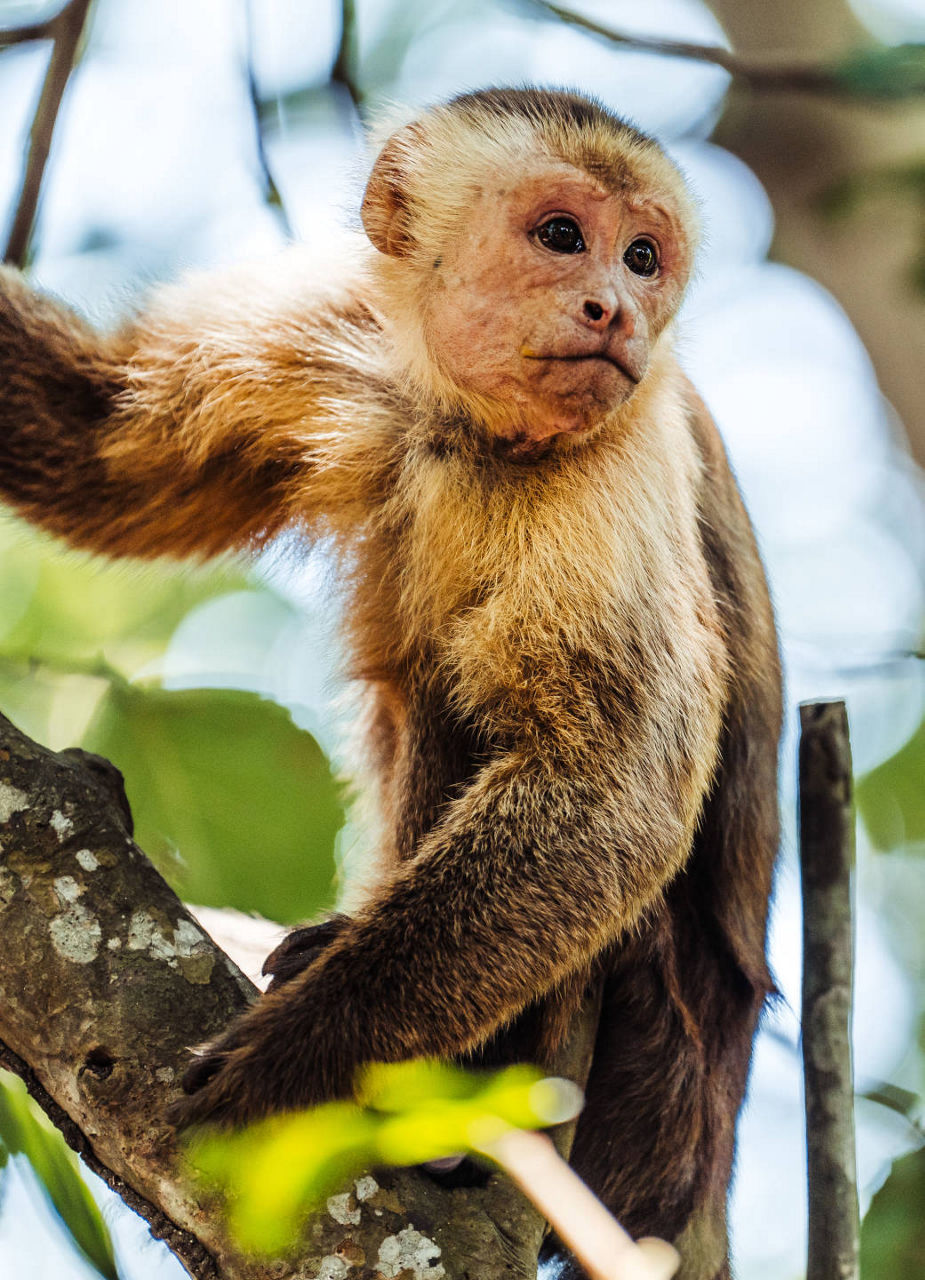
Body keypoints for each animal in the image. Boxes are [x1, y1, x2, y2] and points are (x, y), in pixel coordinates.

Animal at [0, 90, 782, 1280]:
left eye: (644, 258)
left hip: (651, 1083)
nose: (613, 307)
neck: (464, 424)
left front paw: (298, 1057)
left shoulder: (616, 465)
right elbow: (105, 455)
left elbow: (613, 794)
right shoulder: (327, 331)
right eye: (563, 236)